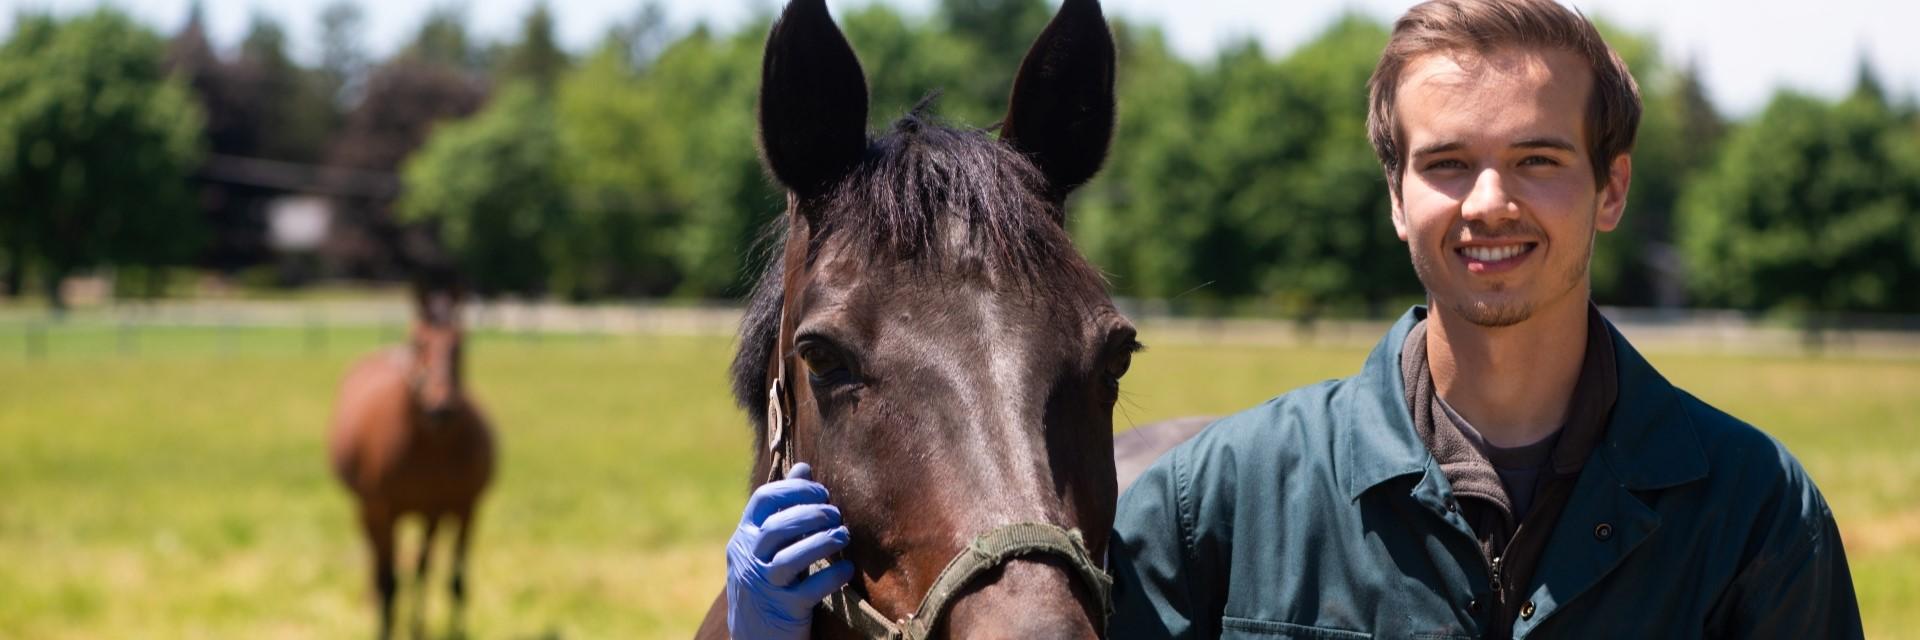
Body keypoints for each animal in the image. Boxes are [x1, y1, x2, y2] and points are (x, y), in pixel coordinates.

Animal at [329, 283, 495, 640]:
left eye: (460, 343)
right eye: (419, 342)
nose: (440, 407)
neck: (430, 447)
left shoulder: (462, 507)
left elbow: (455, 579)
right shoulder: (382, 509)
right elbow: (389, 581)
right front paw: (383, 630)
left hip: (429, 514)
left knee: (422, 568)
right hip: (368, 509)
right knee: (381, 566)